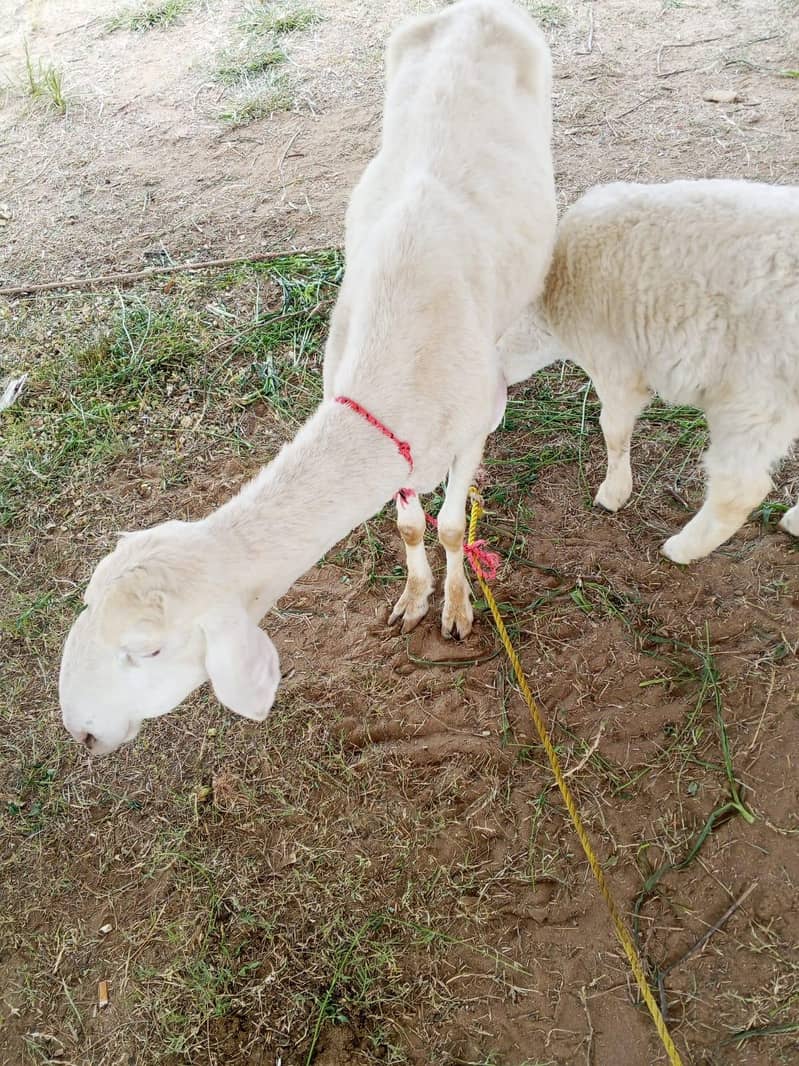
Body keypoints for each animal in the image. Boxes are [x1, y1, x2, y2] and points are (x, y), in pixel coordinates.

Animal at [58, 0, 556, 755]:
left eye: (148, 650)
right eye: (87, 605)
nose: (80, 729)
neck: (398, 358)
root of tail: (475, 9)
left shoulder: (475, 421)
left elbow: (447, 527)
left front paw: (456, 610)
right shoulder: (394, 434)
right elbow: (408, 525)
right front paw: (412, 598)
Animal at [498, 177, 799, 564]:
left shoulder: (614, 363)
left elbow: (613, 428)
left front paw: (614, 493)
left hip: (755, 394)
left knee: (740, 488)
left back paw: (681, 549)